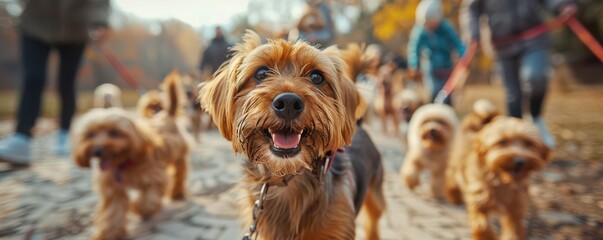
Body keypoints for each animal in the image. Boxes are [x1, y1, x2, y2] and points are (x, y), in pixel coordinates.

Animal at [73, 71, 191, 240]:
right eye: (90, 135)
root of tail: (164, 115)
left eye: (114, 132)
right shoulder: (113, 189)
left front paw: (138, 209)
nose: (98, 150)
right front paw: (110, 233)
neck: (123, 163)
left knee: (179, 174)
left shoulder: (155, 178)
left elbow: (148, 200)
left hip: (178, 156)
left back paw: (177, 192)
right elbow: (113, 211)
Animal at [201, 31, 384, 240]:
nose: (288, 102)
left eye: (316, 77)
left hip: (376, 197)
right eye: (261, 73)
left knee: (373, 223)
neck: (286, 177)